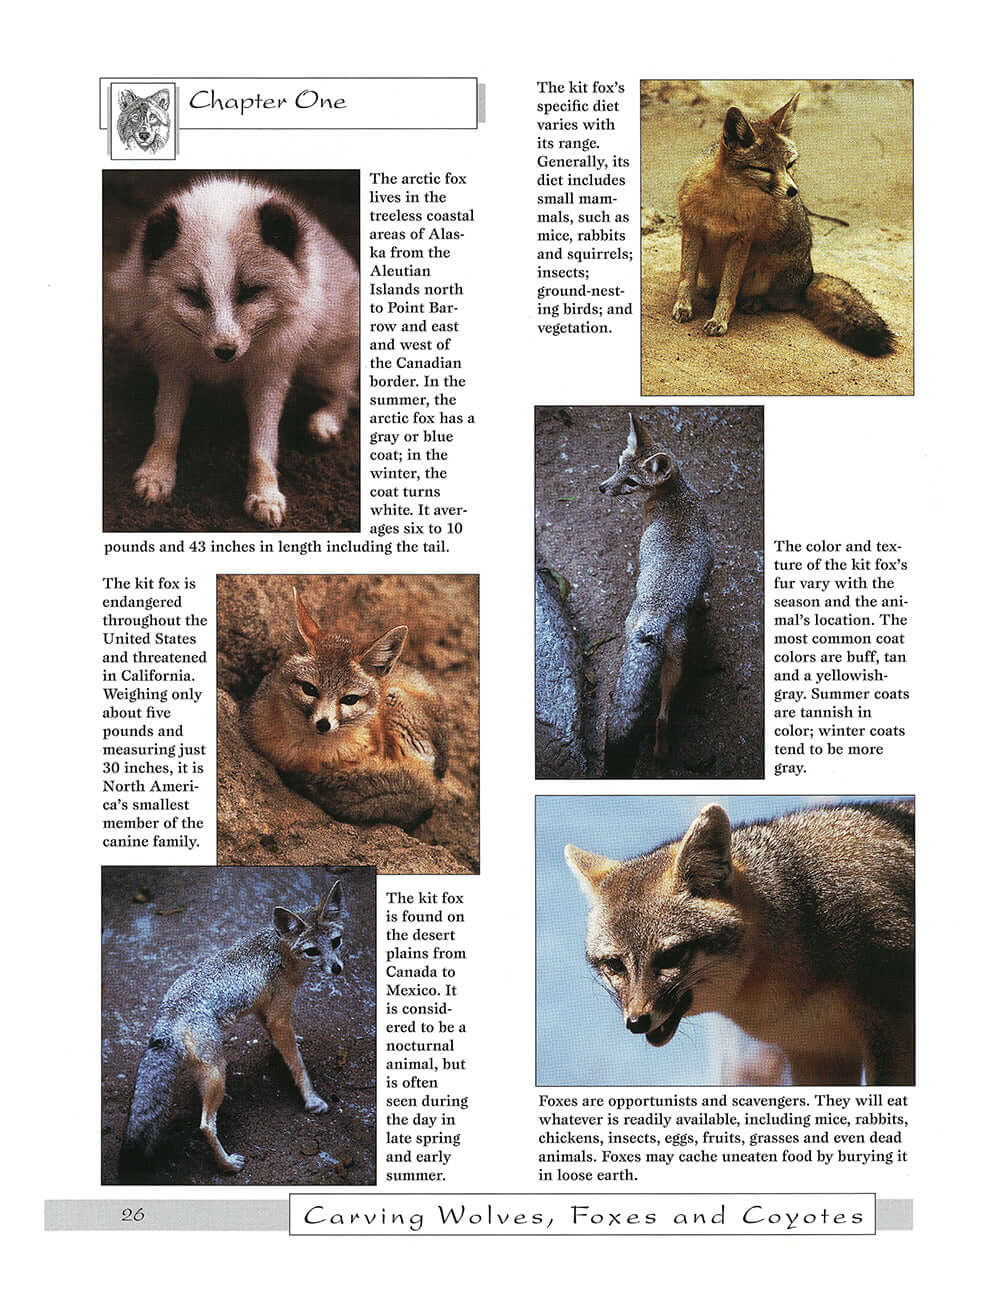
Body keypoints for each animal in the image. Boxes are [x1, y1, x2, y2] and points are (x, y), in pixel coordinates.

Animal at [106, 175, 360, 528]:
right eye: (194, 295)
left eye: (251, 291)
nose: (225, 350)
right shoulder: (173, 363)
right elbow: (167, 427)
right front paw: (157, 474)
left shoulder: (271, 373)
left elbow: (263, 446)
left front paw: (265, 494)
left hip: (320, 363)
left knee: (346, 392)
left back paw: (325, 423)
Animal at [119, 881, 344, 1181]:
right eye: (312, 951)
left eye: (335, 942)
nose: (337, 968)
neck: (279, 952)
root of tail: (169, 1011)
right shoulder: (279, 1015)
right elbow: (298, 1065)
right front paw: (312, 1099)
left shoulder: (263, 1008)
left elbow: (280, 1042)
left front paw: (284, 1048)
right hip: (217, 1069)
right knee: (205, 1126)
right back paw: (227, 1164)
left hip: (208, 1067)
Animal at [599, 414, 713, 773]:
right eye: (618, 465)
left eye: (631, 481)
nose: (602, 488)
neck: (675, 498)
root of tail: (656, 615)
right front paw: (704, 604)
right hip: (674, 667)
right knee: (663, 715)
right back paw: (661, 752)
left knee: (660, 712)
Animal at [670, 92, 896, 356]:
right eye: (764, 169)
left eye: (789, 165)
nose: (793, 191)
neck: (723, 202)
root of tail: (809, 277)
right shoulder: (693, 228)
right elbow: (687, 277)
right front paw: (683, 306)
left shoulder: (741, 240)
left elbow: (729, 288)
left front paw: (719, 320)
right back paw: (709, 290)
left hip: (768, 269)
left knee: (780, 301)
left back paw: (754, 302)